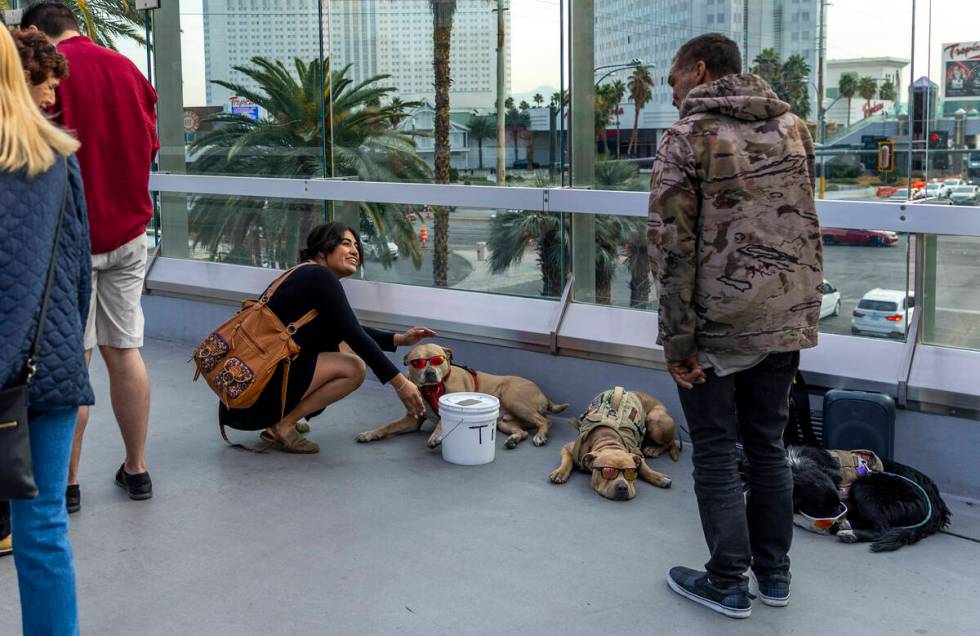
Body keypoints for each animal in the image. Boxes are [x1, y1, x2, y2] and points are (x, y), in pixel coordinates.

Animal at [358, 342, 568, 448]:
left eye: (438, 359)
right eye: (417, 362)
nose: (430, 373)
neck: (433, 388)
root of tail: (543, 394)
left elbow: (441, 421)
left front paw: (436, 435)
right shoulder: (412, 420)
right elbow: (388, 426)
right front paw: (371, 434)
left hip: (514, 399)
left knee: (545, 421)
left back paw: (540, 436)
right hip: (505, 421)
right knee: (522, 431)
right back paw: (514, 439)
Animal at [548, 388, 676, 502]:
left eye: (631, 472)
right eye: (608, 471)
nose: (622, 487)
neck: (608, 441)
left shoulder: (635, 453)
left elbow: (644, 467)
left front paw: (659, 477)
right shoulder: (569, 448)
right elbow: (567, 461)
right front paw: (560, 472)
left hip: (655, 421)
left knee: (670, 442)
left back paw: (654, 449)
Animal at [780, 448, 948, 552]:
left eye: (837, 504)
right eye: (821, 508)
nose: (835, 524)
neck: (797, 464)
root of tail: (937, 505)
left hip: (862, 485)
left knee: (882, 529)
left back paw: (849, 533)